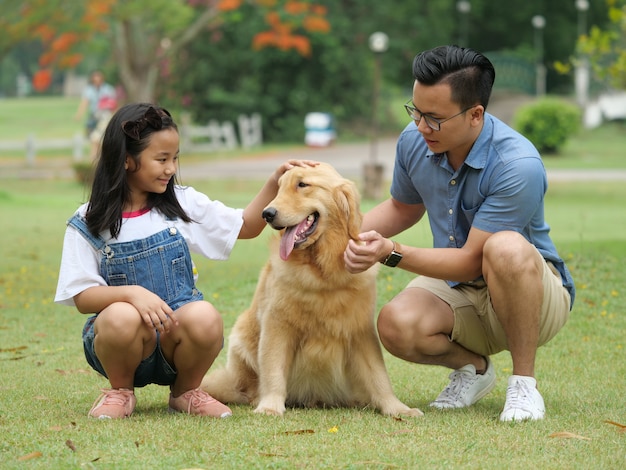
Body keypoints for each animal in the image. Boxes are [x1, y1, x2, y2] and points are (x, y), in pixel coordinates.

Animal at [202, 163, 422, 416]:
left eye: (302, 184)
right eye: (279, 187)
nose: (267, 214)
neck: (322, 272)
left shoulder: (360, 329)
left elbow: (378, 374)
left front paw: (397, 408)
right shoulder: (277, 325)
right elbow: (273, 369)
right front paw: (270, 406)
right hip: (241, 336)